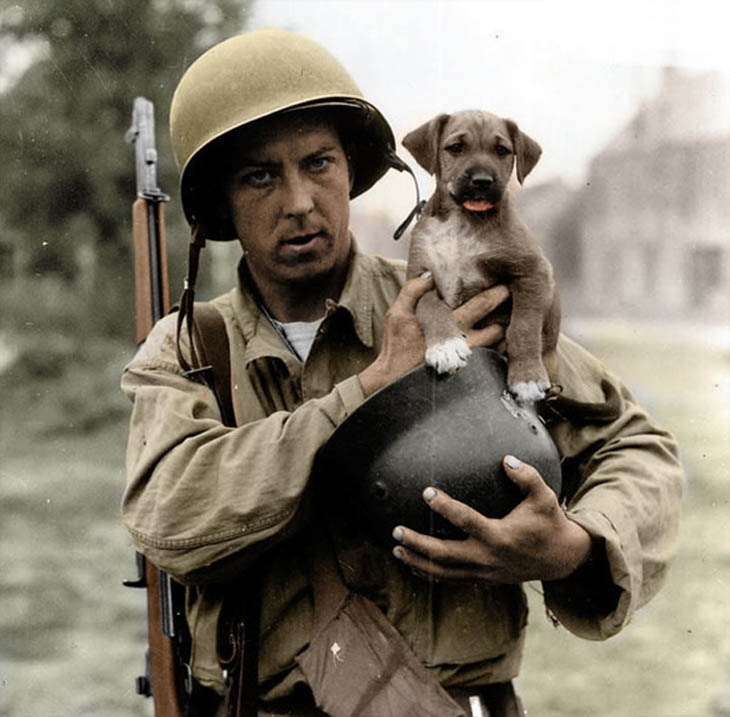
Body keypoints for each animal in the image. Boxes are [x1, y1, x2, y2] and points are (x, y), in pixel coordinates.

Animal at [404, 110, 556, 402]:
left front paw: (527, 376)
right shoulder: (419, 277)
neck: (463, 221)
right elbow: (430, 306)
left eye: (502, 151)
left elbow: (524, 325)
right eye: (456, 148)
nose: (482, 181)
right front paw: (446, 346)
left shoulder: (533, 271)